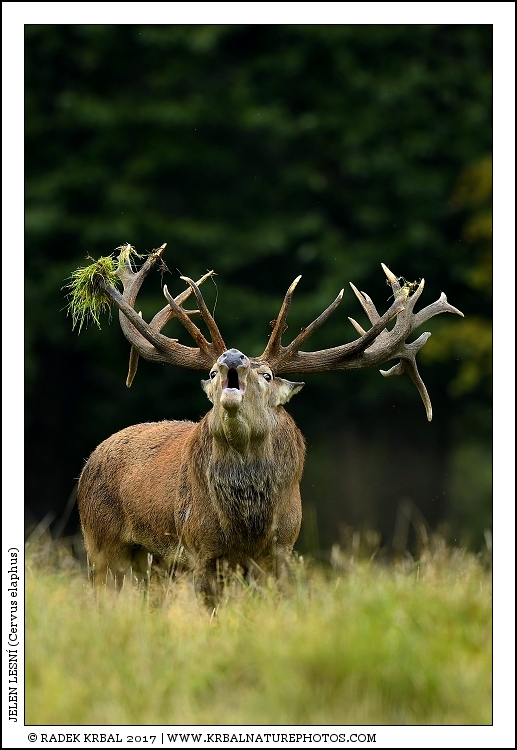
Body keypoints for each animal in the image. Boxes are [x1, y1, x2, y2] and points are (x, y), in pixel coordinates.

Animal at [74, 243, 463, 608]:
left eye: (268, 375)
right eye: (211, 373)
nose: (232, 355)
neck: (247, 525)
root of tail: (89, 462)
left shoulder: (282, 547)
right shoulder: (199, 546)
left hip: (150, 563)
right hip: (100, 541)